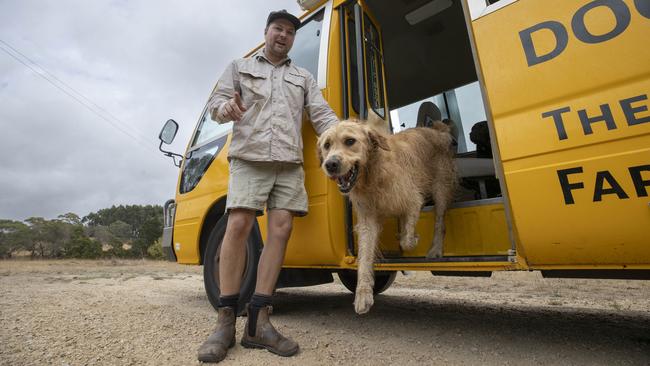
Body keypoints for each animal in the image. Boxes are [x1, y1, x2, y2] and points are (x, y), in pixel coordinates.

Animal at [316, 120, 454, 314]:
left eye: (350, 141)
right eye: (327, 145)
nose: (330, 164)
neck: (372, 176)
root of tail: (438, 130)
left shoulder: (413, 200)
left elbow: (407, 241)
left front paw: (412, 238)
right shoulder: (368, 221)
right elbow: (365, 257)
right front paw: (363, 295)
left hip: (441, 187)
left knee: (440, 221)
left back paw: (435, 250)